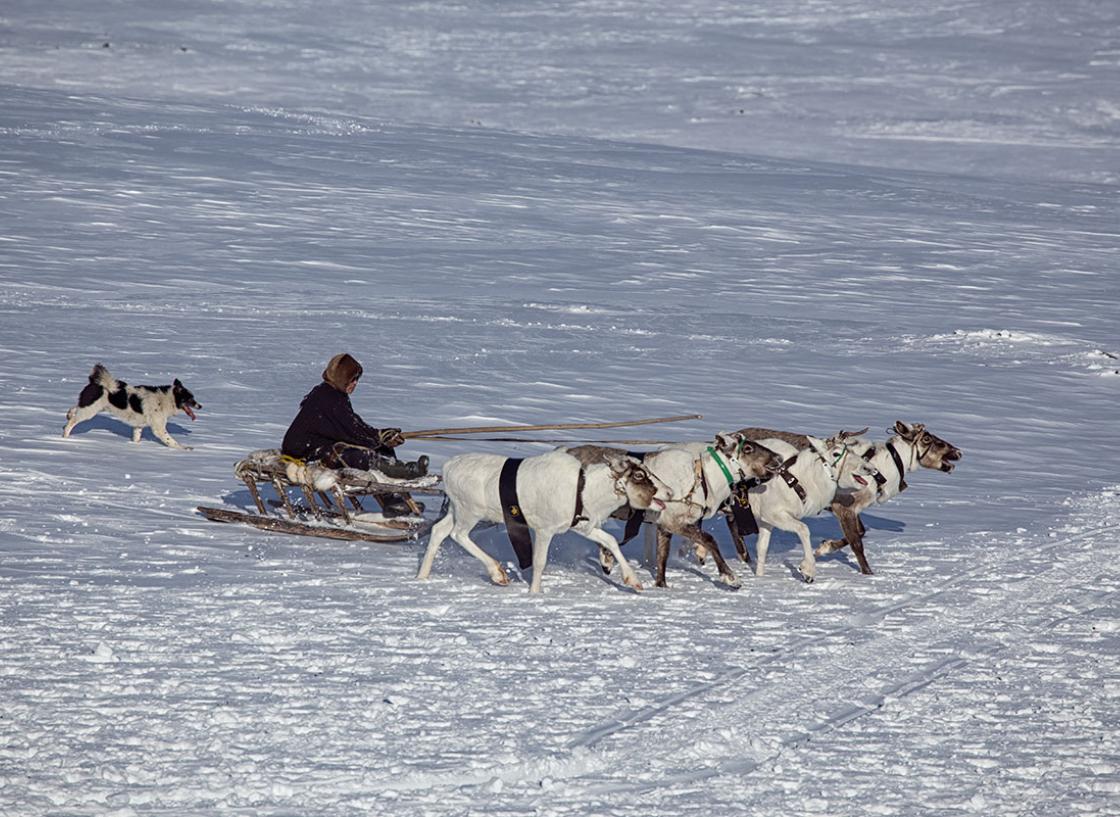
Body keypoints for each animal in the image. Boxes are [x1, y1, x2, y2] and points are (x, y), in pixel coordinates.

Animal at [64, 365, 203, 448]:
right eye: (190, 398)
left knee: (74, 409)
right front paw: (184, 449)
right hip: (90, 411)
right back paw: (65, 437)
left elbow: (136, 439)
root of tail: (96, 382)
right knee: (72, 422)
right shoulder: (159, 428)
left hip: (90, 407)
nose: (200, 406)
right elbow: (172, 441)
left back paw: (68, 414)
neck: (167, 399)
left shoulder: (138, 426)